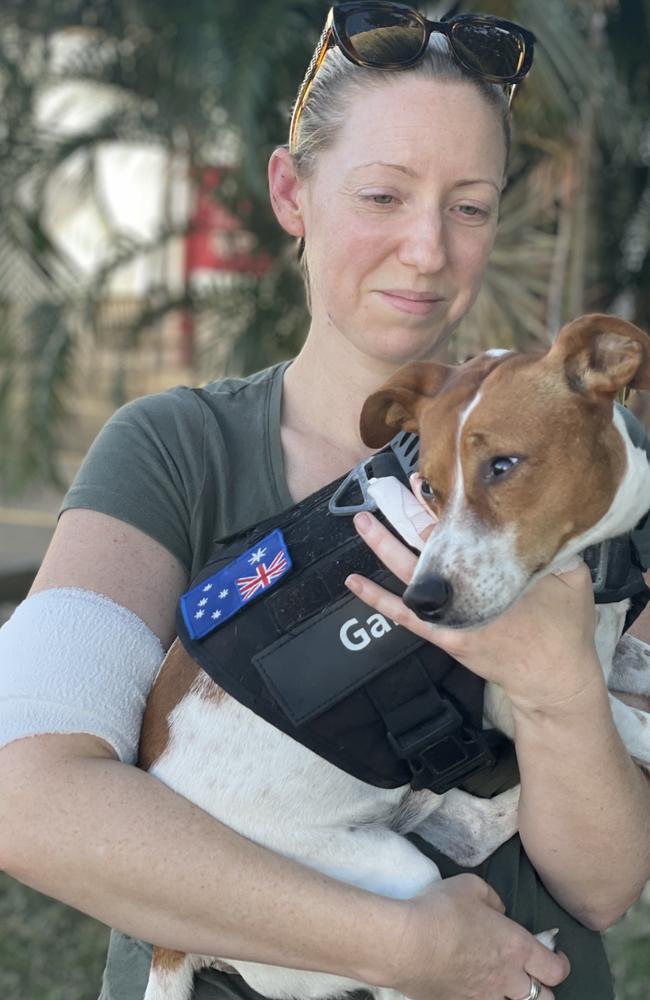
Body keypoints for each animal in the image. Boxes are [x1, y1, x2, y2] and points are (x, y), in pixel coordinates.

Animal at [139, 312, 648, 1000]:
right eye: (429, 487)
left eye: (503, 465)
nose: (422, 599)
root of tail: (171, 945)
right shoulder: (524, 698)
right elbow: (640, 725)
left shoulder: (608, 654)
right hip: (389, 880)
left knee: (469, 834)